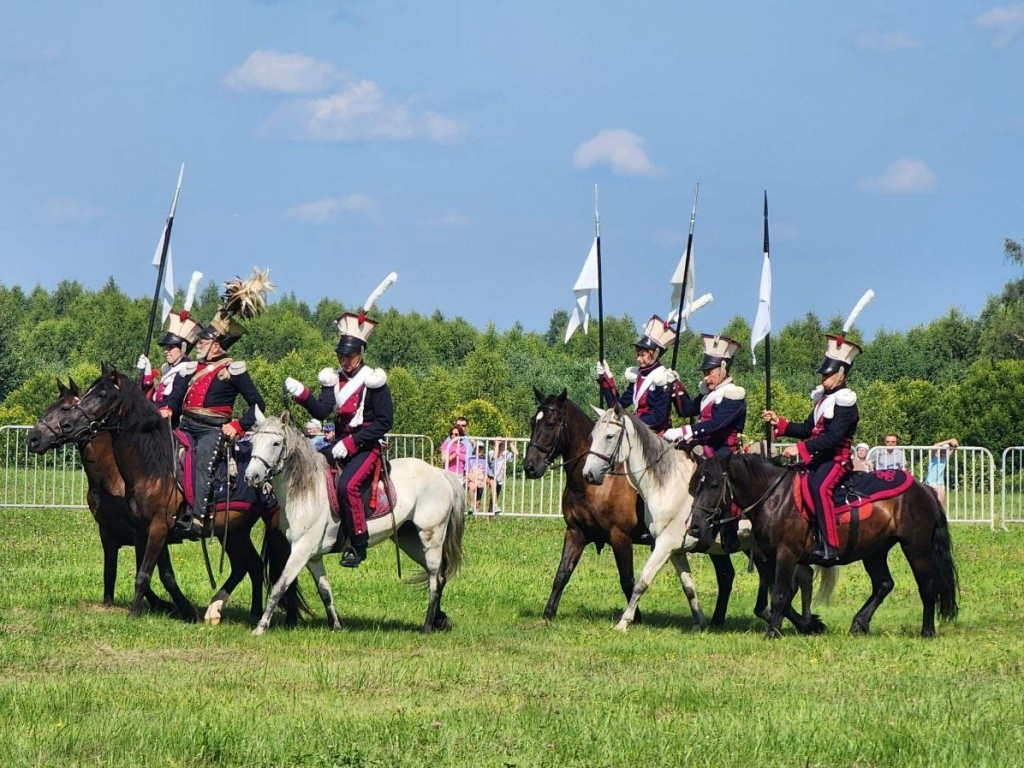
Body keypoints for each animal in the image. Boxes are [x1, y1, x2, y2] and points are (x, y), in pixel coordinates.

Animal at [41, 366, 301, 626]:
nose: (66, 425)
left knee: (284, 567)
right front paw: (185, 611)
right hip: (235, 530)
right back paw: (234, 611)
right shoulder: (146, 530)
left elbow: (144, 573)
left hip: (275, 525)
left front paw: (135, 613)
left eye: (102, 394)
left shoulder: (157, 528)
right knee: (250, 565)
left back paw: (287, 619)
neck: (151, 467)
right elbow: (163, 574)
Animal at [241, 411, 466, 634]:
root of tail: (441, 474)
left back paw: (427, 626)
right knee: (439, 576)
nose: (252, 477)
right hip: (408, 540)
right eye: (253, 442)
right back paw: (439, 620)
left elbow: (279, 587)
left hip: (431, 537)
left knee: (434, 579)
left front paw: (260, 627)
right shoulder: (313, 556)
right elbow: (325, 590)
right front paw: (337, 626)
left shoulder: (301, 550)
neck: (306, 490)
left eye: (276, 443)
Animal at [528, 391, 823, 630]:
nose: (530, 466)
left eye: (551, 424)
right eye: (533, 422)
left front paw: (630, 620)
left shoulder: (629, 539)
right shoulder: (577, 532)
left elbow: (633, 581)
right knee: (744, 577)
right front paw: (548, 614)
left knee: (793, 578)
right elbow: (562, 574)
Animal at [688, 454, 958, 638]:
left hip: (916, 547)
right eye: (693, 487)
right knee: (884, 584)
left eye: (714, 485)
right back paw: (859, 623)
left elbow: (779, 595)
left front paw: (773, 632)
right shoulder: (768, 560)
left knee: (927, 586)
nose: (695, 527)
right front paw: (809, 624)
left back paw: (926, 631)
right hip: (875, 551)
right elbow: (772, 601)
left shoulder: (786, 556)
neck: (775, 498)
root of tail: (924, 489)